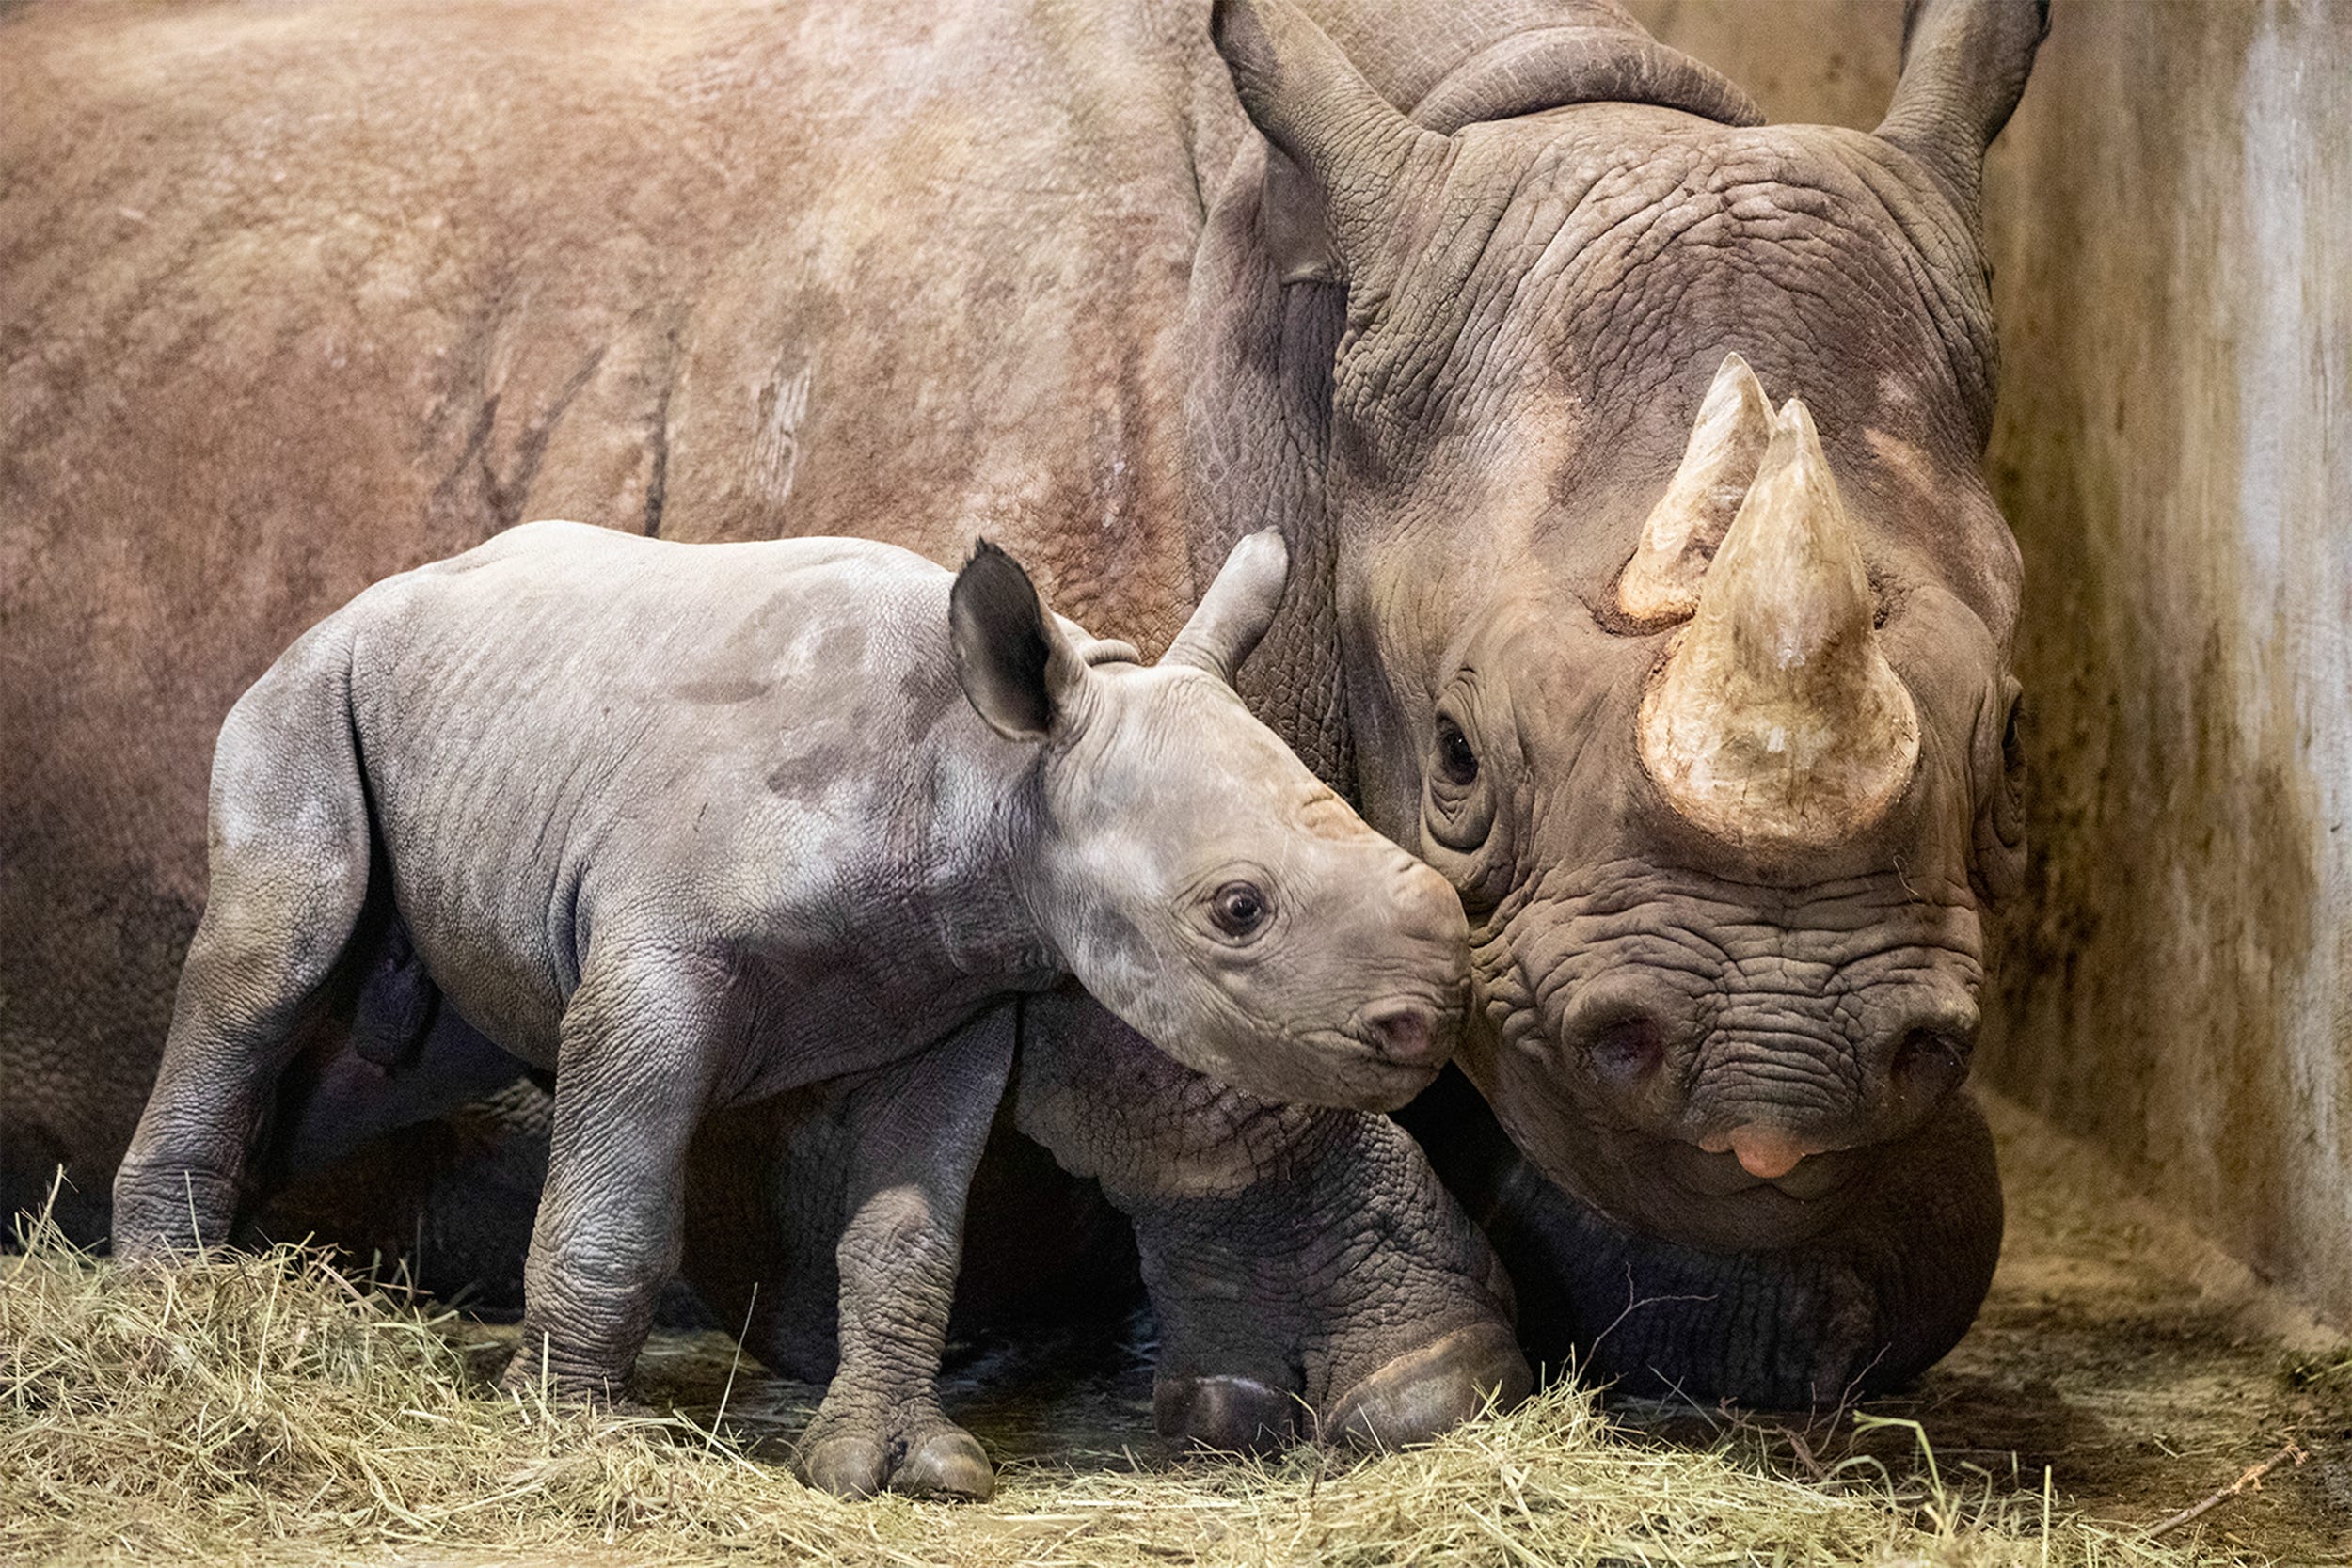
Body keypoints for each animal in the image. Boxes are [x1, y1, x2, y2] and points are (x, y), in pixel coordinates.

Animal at [119, 521, 1468, 1504]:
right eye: (1237, 910)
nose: (1428, 1022)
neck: (997, 772)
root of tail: (359, 599)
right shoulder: (656, 961)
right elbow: (614, 1207)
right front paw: (570, 1437)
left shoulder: (953, 1009)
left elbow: (906, 1239)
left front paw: (898, 1467)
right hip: (305, 690)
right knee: (270, 957)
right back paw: (164, 1307)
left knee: (383, 1059)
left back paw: (218, 1271)